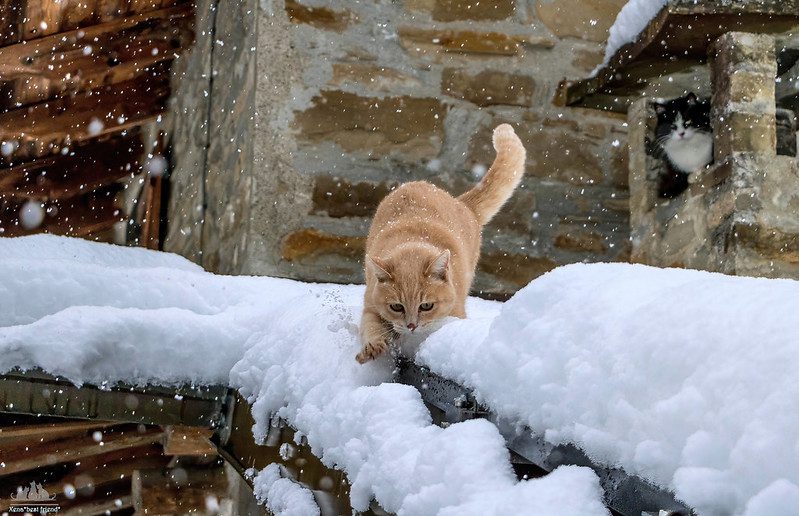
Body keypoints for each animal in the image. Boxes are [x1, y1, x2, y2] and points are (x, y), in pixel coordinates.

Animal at [360, 124, 528, 362]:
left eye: (426, 306)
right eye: (396, 307)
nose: (411, 326)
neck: (413, 243)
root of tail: (461, 202)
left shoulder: (455, 311)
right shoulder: (370, 305)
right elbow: (371, 326)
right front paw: (373, 346)